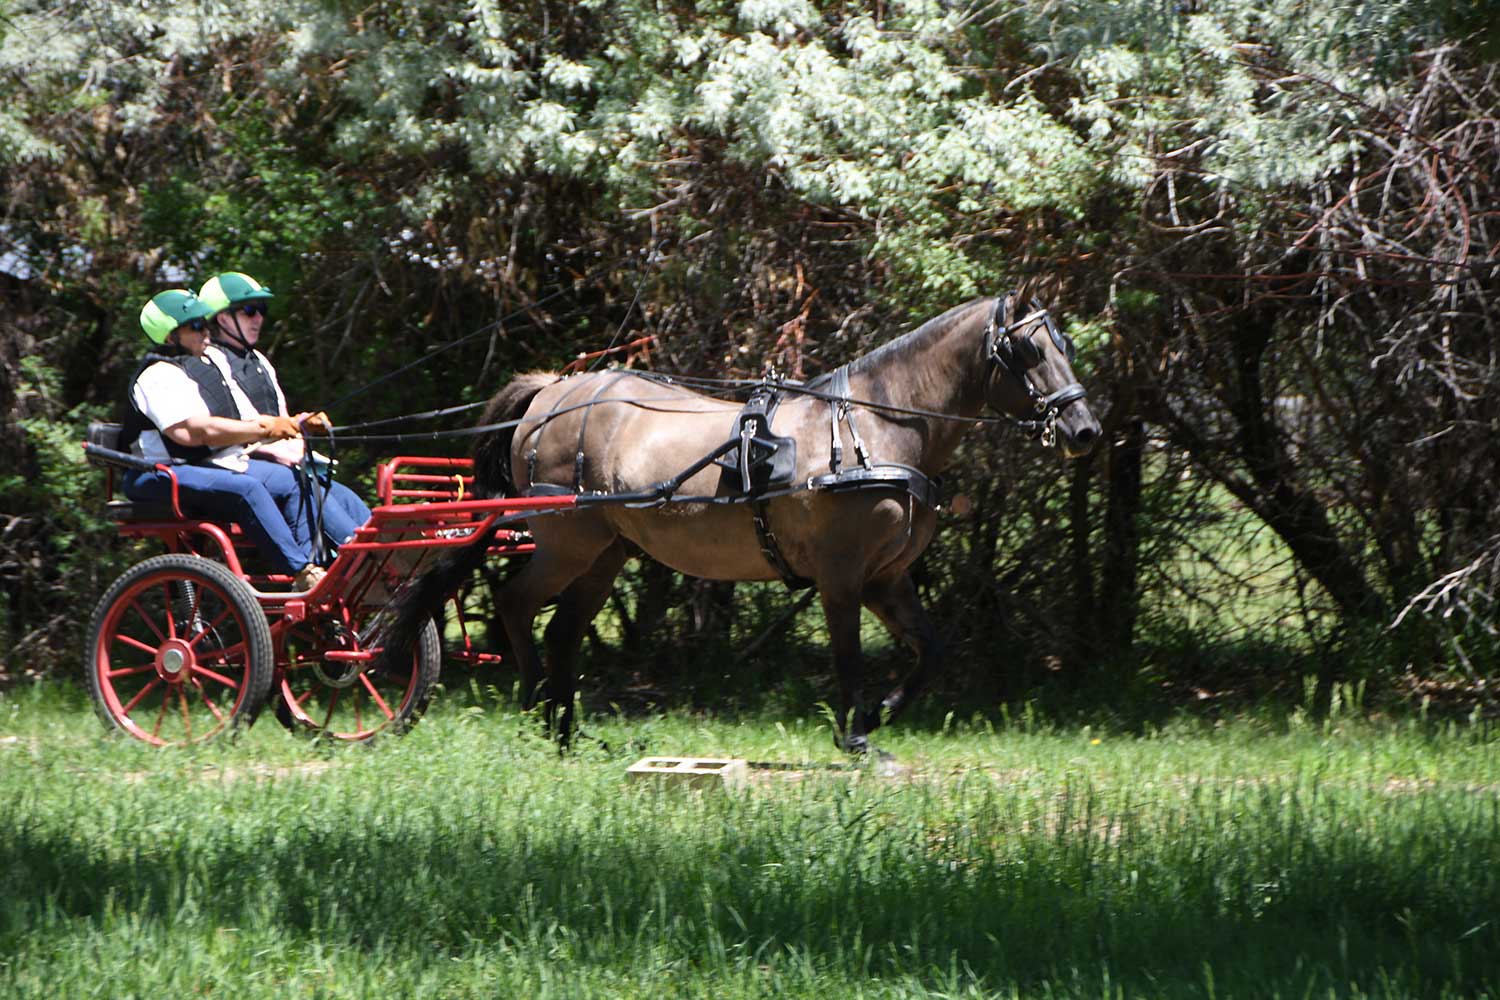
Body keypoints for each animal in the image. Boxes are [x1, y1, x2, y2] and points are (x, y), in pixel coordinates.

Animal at [376, 291, 1100, 751]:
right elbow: (847, 654)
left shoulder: (886, 579)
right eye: (1028, 352)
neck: (874, 426)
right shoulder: (842, 577)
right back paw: (534, 704)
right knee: (515, 604)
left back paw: (564, 729)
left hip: (607, 552)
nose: (1084, 429)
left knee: (563, 630)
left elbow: (930, 651)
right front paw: (857, 733)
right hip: (565, 543)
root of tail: (553, 391)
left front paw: (883, 712)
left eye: (1062, 344)